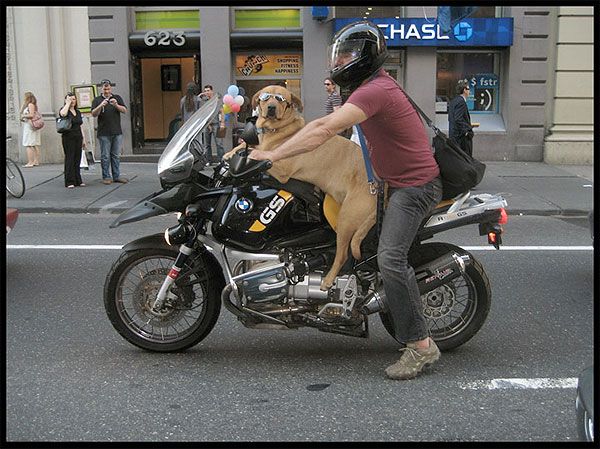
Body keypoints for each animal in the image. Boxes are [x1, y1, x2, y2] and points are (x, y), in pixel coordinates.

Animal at [225, 84, 376, 290]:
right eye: (265, 97)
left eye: (281, 99)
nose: (271, 108)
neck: (278, 129)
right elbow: (246, 148)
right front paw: (230, 153)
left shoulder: (280, 168)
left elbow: (260, 154)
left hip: (346, 219)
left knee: (343, 255)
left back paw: (328, 280)